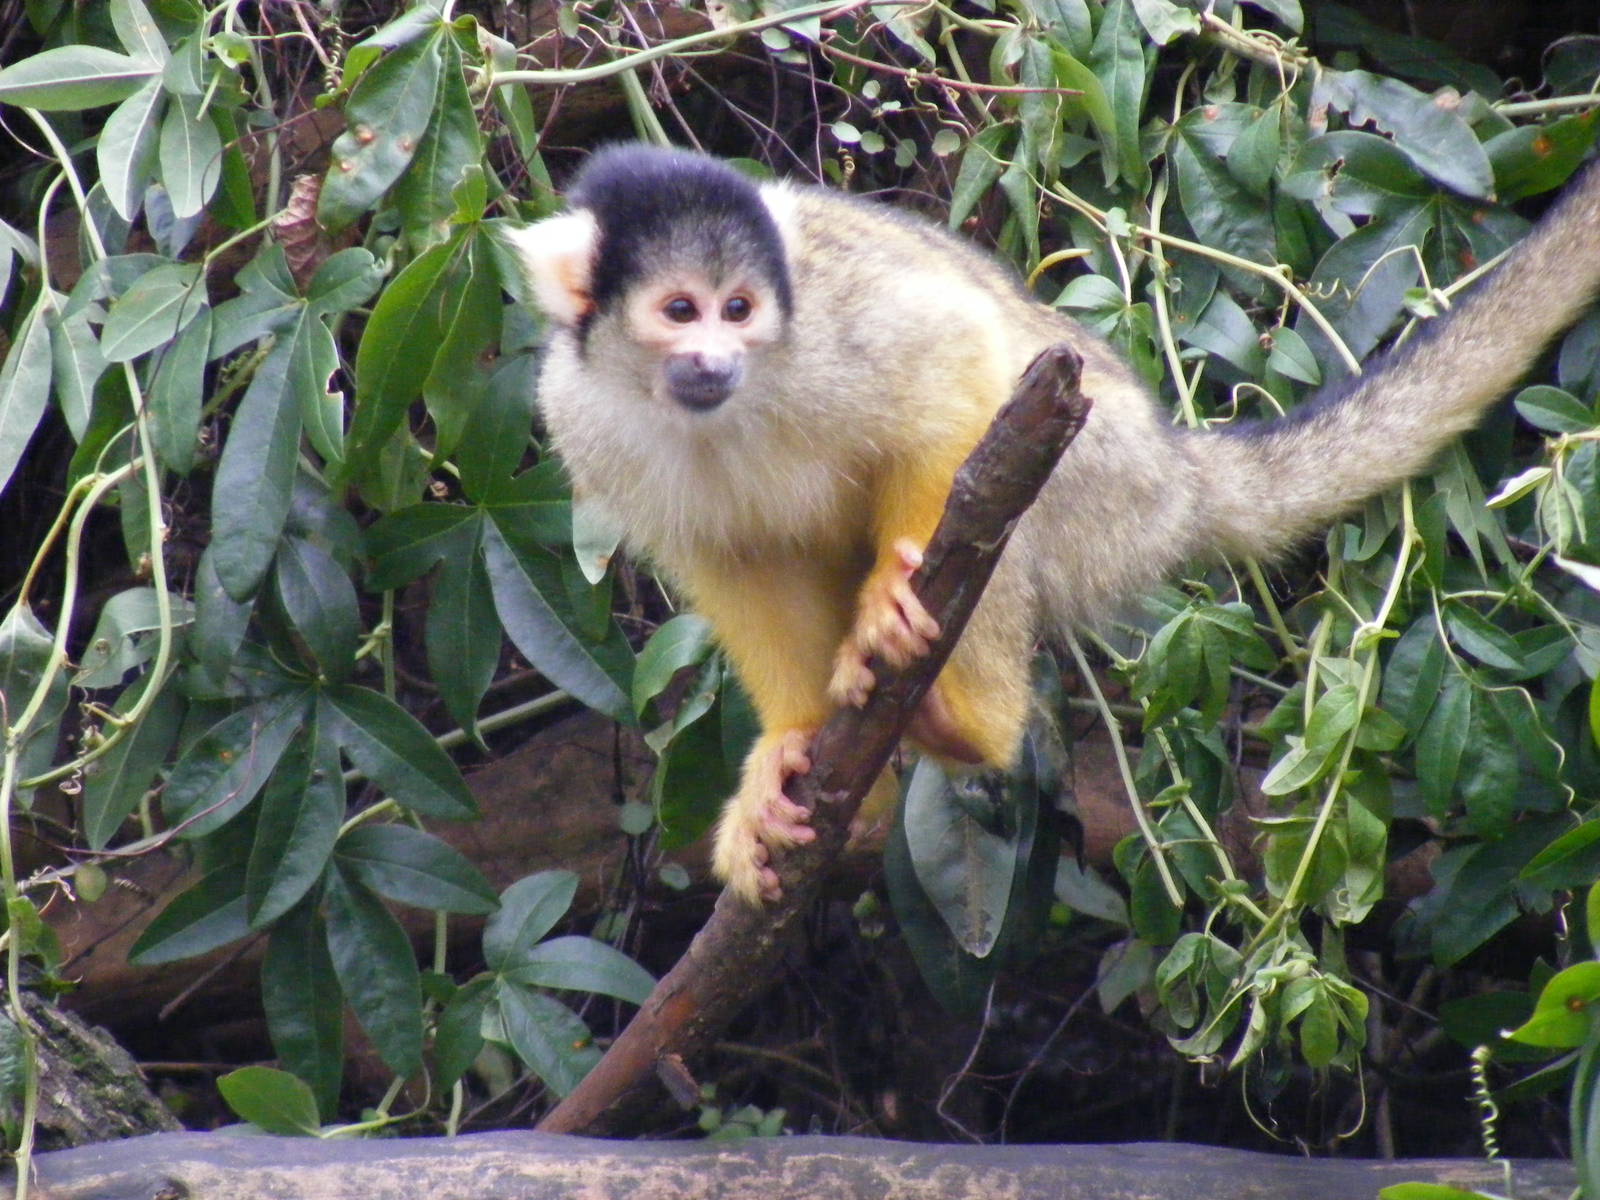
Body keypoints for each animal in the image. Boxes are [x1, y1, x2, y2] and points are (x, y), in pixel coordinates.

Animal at [508, 142, 1600, 906]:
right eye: (680, 310)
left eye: (738, 309)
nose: (717, 359)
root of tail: (1173, 470)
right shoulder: (577, 417)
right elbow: (733, 561)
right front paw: (791, 743)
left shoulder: (821, 335)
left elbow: (952, 350)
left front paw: (893, 596)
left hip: (1097, 473)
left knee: (1000, 491)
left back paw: (964, 718)